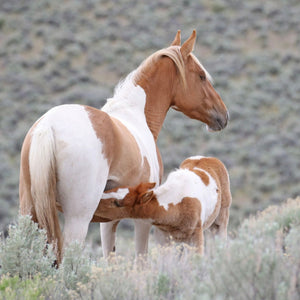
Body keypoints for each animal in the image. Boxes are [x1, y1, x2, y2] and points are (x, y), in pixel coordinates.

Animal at [94, 156, 232, 254]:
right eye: (111, 190)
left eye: (117, 203)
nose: (96, 204)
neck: (177, 206)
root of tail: (208, 158)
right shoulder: (163, 237)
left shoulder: (195, 237)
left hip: (220, 222)